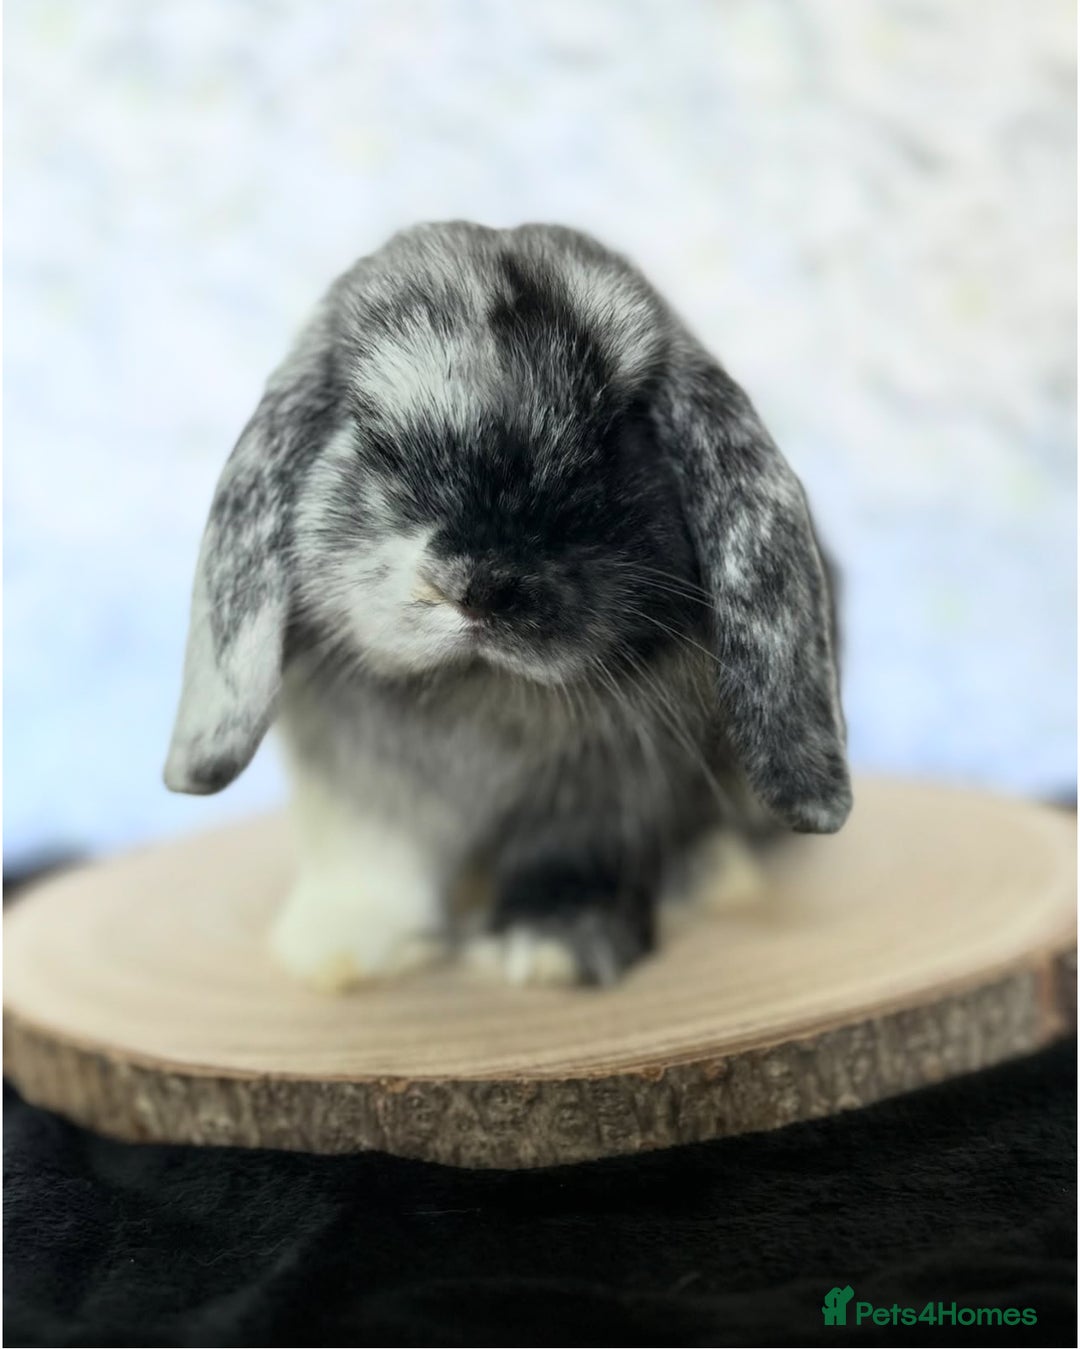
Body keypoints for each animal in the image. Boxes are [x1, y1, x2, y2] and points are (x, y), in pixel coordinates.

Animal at [164, 221, 850, 989]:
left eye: (615, 433)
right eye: (374, 433)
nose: (483, 584)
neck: (477, 684)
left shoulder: (613, 786)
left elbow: (573, 854)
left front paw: (550, 947)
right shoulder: (357, 789)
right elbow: (372, 858)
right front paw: (342, 953)